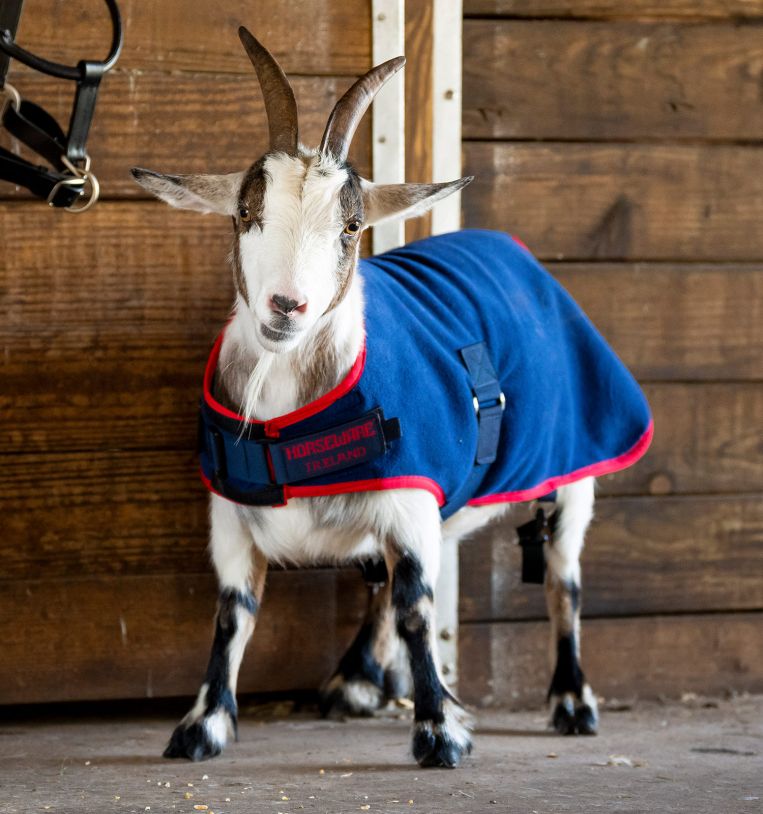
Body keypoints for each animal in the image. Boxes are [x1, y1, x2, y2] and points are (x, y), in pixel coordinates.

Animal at [131, 28, 652, 768]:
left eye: (350, 228)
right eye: (245, 212)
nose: (286, 306)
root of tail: (510, 248)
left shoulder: (412, 494)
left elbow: (415, 607)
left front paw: (439, 731)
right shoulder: (233, 514)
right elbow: (233, 613)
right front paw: (203, 725)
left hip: (575, 460)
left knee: (562, 577)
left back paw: (572, 701)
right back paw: (354, 680)